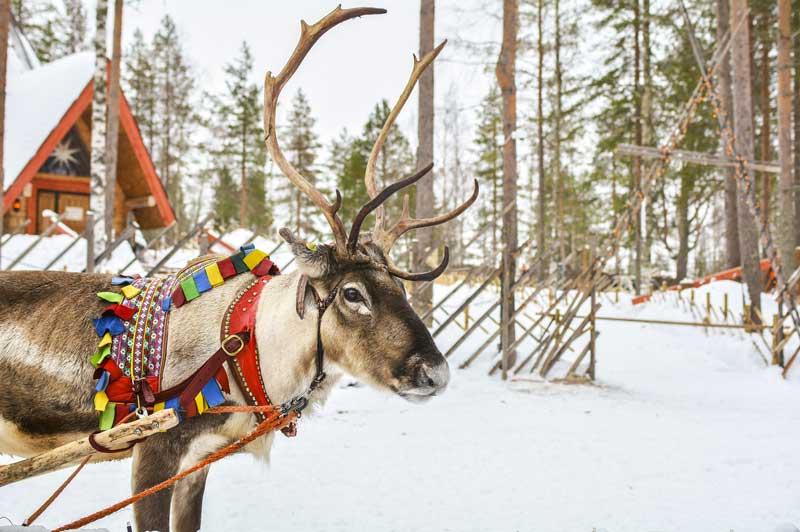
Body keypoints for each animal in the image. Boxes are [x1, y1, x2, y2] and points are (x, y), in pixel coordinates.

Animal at [0, 6, 478, 532]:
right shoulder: (153, 451)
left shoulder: (198, 462)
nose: (436, 373)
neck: (248, 348)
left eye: (401, 287)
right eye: (353, 293)